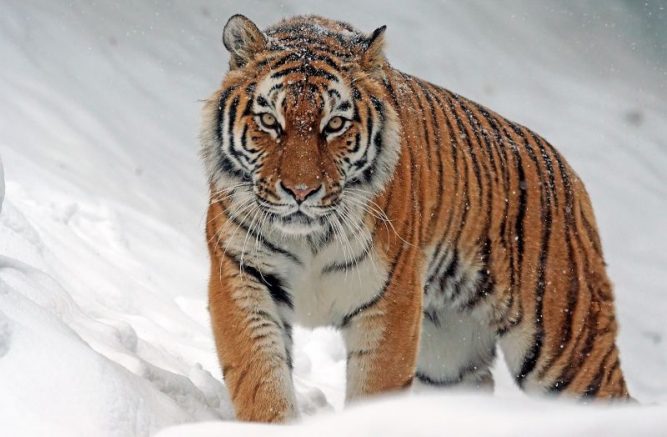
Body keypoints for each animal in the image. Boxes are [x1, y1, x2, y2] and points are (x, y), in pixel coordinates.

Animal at [200, 14, 631, 422]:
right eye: (270, 121)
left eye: (335, 124)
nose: (301, 191)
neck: (309, 238)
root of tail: (570, 175)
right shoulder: (242, 276)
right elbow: (260, 378)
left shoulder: (391, 300)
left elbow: (375, 390)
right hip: (449, 359)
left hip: (567, 347)